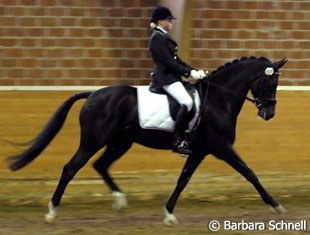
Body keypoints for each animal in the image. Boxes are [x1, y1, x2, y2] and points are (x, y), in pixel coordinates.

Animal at [6, 56, 288, 225]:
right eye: (270, 81)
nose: (269, 113)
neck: (218, 99)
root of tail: (93, 94)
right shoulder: (221, 148)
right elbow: (249, 173)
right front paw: (276, 206)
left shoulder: (200, 151)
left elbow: (183, 180)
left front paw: (169, 213)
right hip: (93, 141)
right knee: (70, 168)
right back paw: (52, 211)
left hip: (120, 142)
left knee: (101, 165)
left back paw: (120, 201)